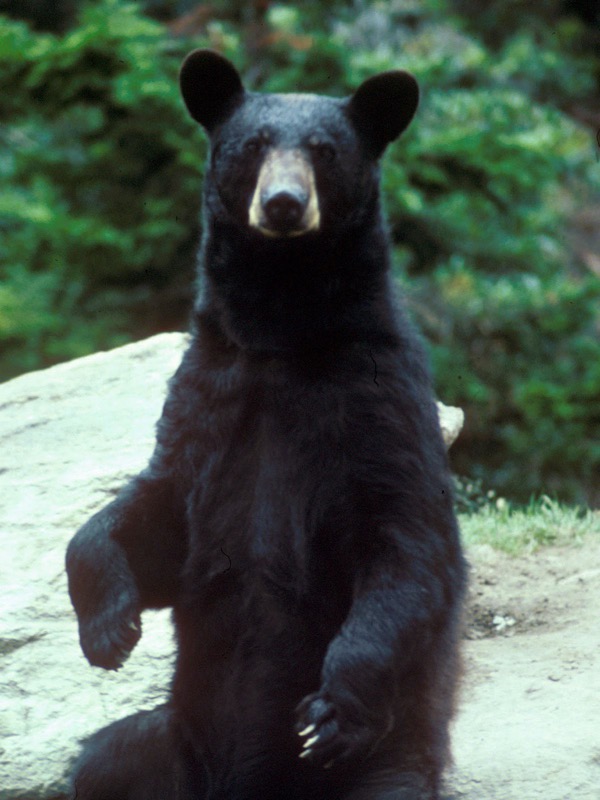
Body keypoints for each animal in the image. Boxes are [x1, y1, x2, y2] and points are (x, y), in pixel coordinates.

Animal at [66, 49, 466, 800]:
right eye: (252, 145)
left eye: (324, 150)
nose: (283, 203)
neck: (282, 333)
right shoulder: (208, 393)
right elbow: (156, 512)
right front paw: (109, 629)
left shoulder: (379, 400)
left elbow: (407, 545)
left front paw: (329, 713)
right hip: (171, 742)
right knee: (101, 761)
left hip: (388, 767)